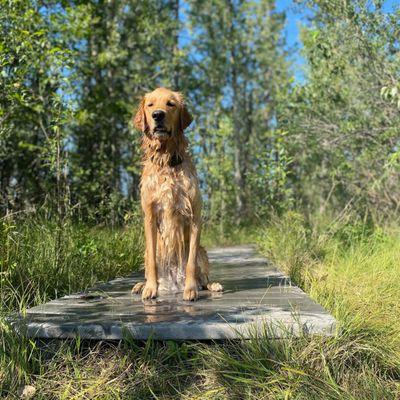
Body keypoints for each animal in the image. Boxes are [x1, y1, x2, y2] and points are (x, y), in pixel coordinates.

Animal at [133, 86, 223, 300]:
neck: (167, 161)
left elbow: (190, 263)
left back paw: (212, 285)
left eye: (170, 104)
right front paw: (150, 288)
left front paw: (190, 289)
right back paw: (141, 285)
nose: (158, 115)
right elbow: (152, 263)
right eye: (150, 105)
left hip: (203, 252)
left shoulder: (194, 217)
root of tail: (172, 284)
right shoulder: (149, 216)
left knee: (204, 278)